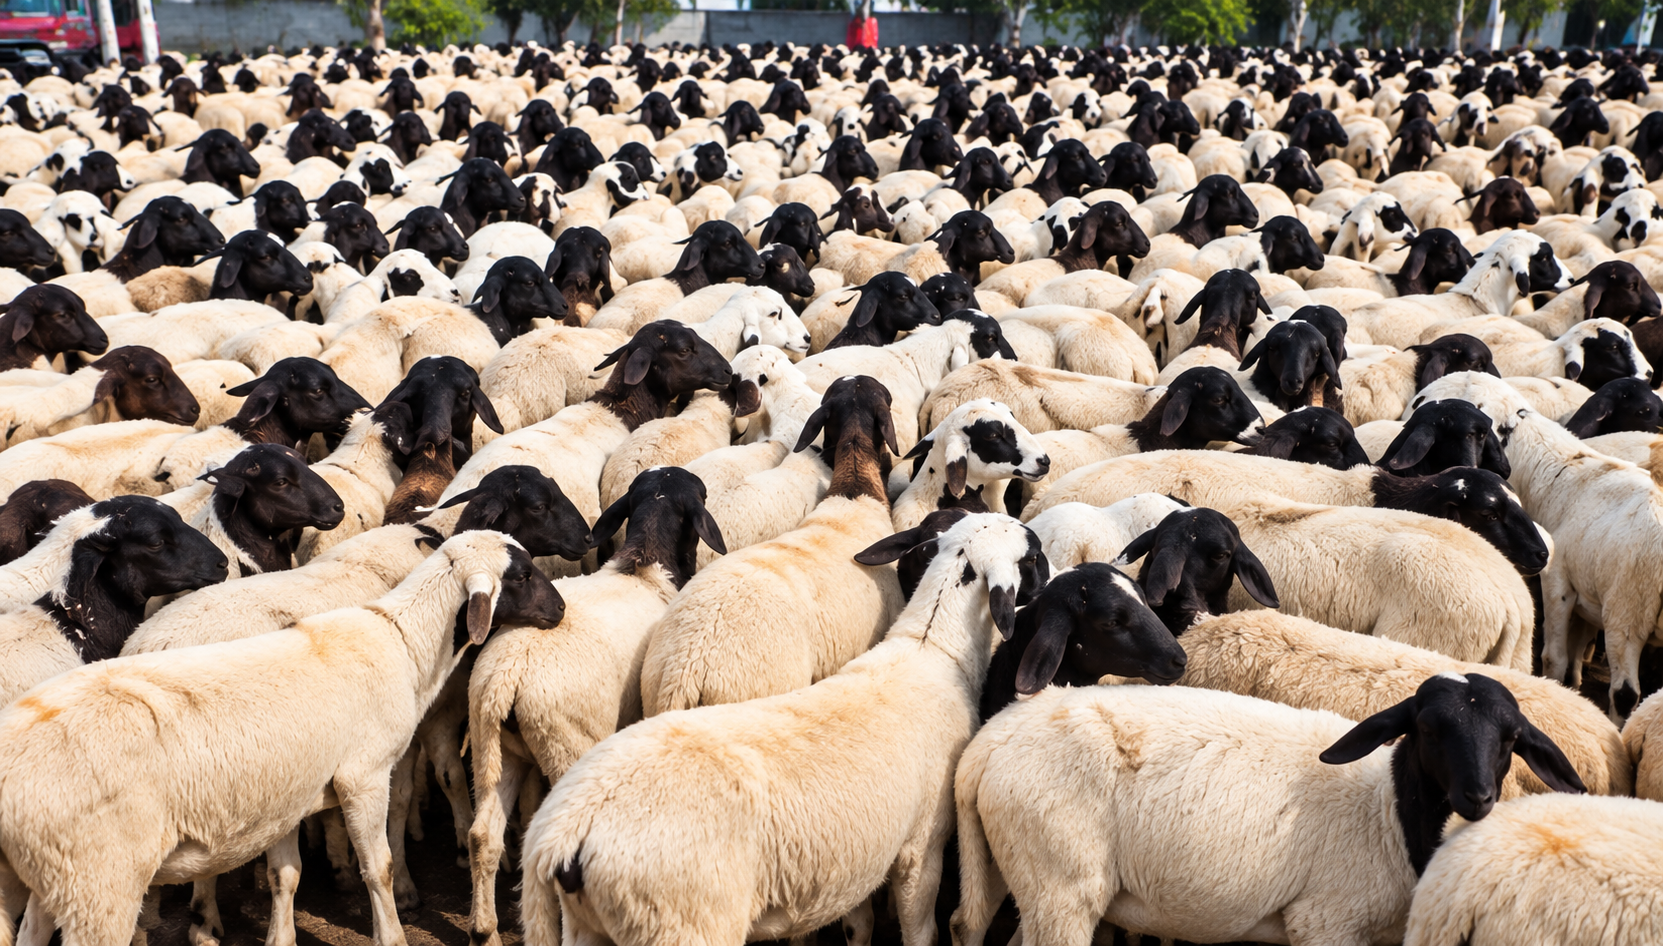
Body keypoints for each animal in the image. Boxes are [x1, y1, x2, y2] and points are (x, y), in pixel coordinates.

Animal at [0, 530, 563, 946]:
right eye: (522, 574)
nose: (560, 611)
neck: (401, 641)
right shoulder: (363, 776)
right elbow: (377, 868)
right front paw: (393, 932)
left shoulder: (288, 794)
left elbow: (284, 875)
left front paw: (281, 936)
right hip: (99, 884)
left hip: (39, 879)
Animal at [520, 513, 1054, 946]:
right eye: (1031, 556)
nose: (1051, 578)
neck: (930, 650)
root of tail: (563, 830)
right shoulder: (921, 847)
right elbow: (920, 929)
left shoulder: (855, 862)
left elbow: (857, 921)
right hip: (680, 922)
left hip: (589, 924)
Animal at [950, 674, 1587, 946]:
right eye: (1428, 729)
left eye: (1511, 738)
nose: (1477, 797)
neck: (1390, 814)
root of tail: (989, 742)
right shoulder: (1326, 923)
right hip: (1062, 882)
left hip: (1018, 870)